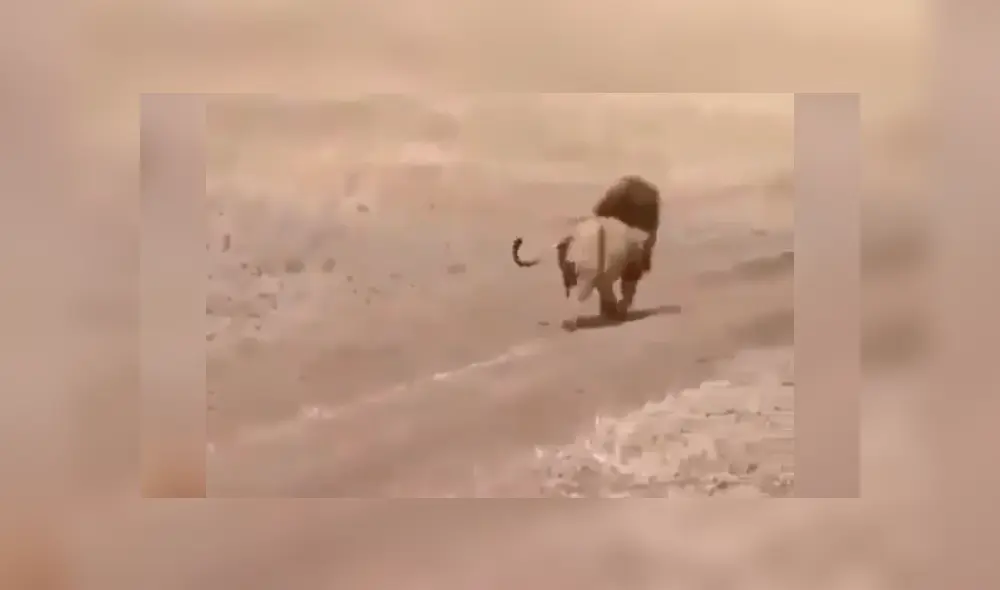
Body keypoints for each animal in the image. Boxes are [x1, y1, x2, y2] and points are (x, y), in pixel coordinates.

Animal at [512, 216, 651, 331]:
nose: (519, 240)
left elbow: (608, 283)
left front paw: (614, 315)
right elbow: (624, 282)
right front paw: (617, 315)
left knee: (577, 285)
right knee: (582, 287)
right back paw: (569, 326)